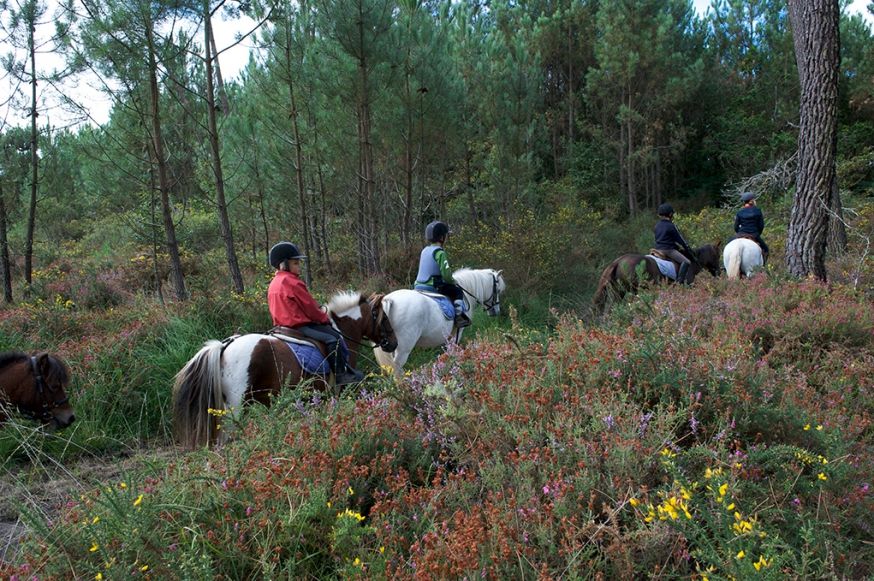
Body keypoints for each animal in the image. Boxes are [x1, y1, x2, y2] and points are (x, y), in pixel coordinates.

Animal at [172, 290, 396, 448]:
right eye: (384, 318)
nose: (392, 343)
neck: (340, 331)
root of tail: (224, 346)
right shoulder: (331, 392)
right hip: (235, 407)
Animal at [372, 268, 504, 380]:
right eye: (497, 290)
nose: (496, 311)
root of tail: (388, 300)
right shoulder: (457, 334)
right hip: (403, 348)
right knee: (397, 367)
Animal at [592, 242, 724, 312]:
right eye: (717, 255)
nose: (718, 273)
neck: (692, 261)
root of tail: (618, 261)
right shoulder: (688, 286)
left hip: (619, 291)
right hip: (631, 289)